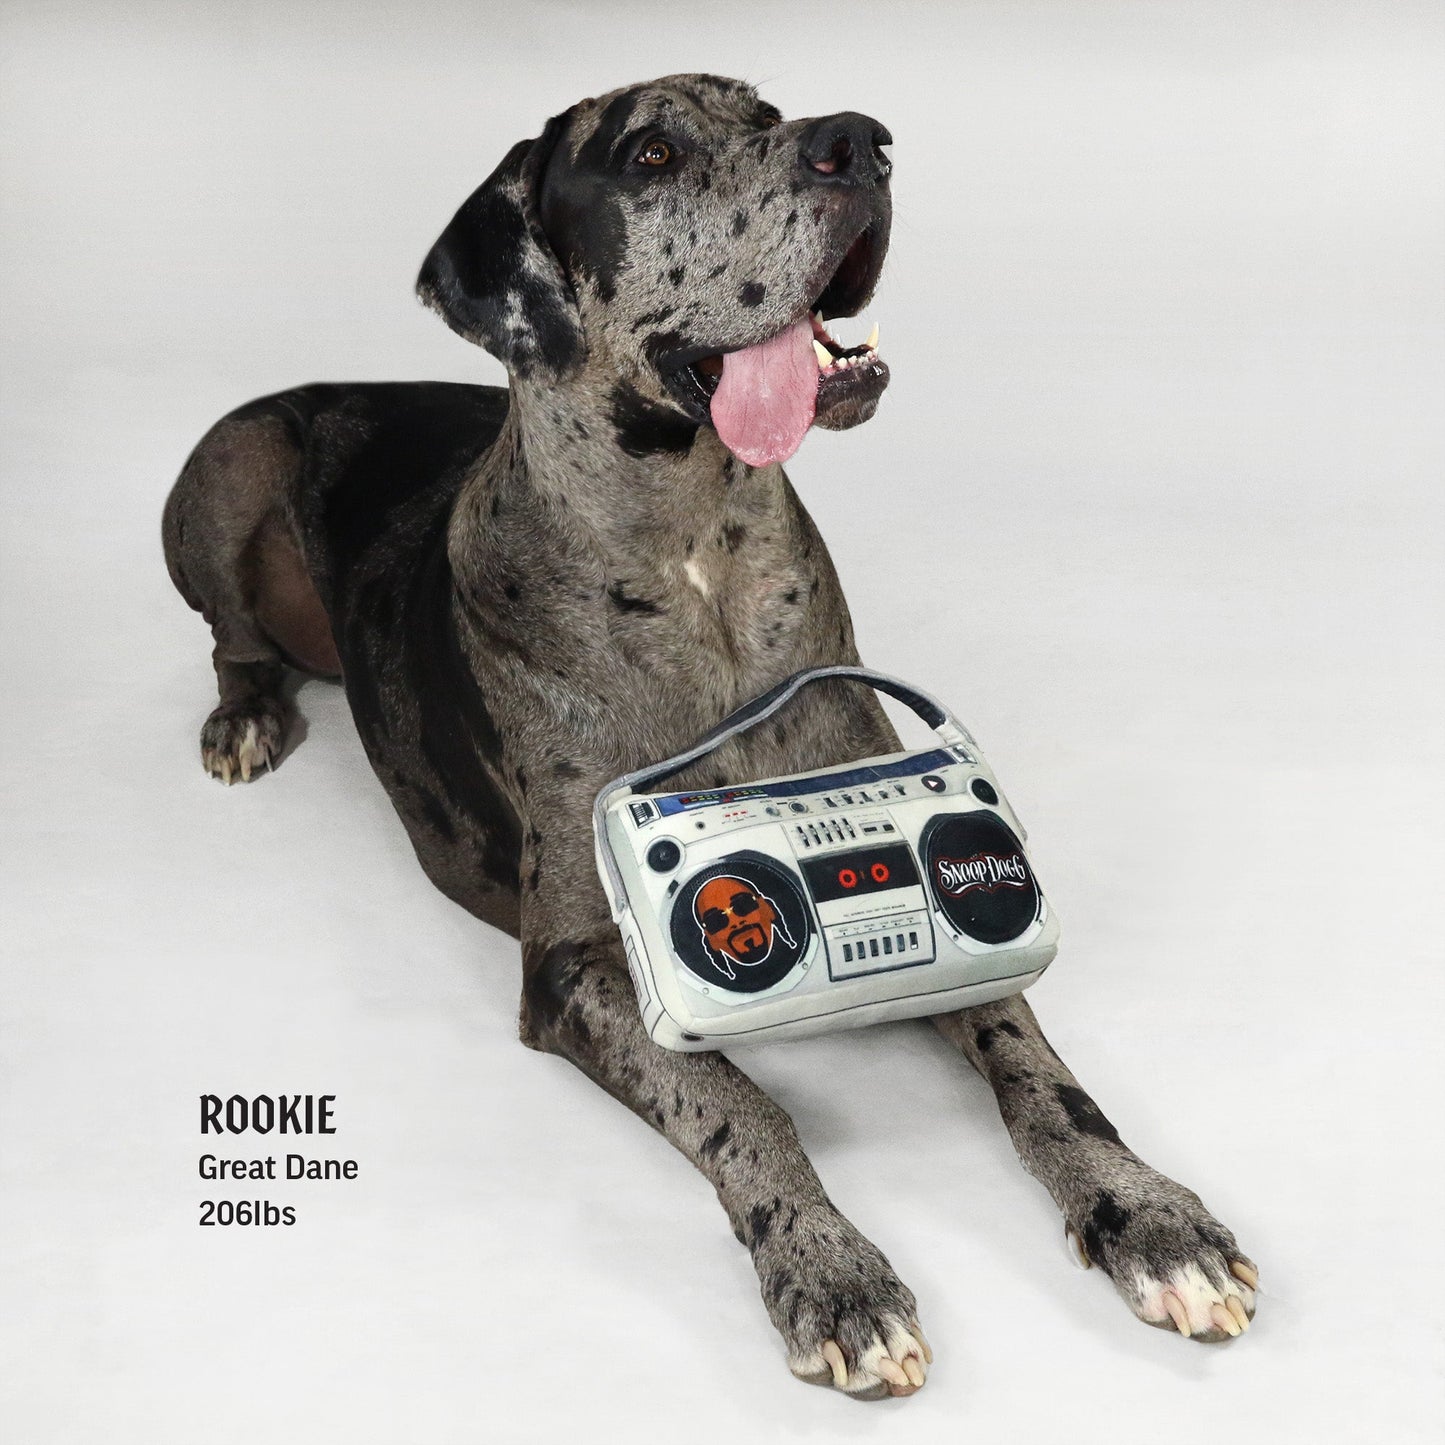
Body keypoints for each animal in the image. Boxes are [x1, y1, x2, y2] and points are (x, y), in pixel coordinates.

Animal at [164, 73, 1260, 1392]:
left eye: (768, 108)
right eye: (648, 153)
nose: (860, 143)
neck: (698, 555)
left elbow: (1032, 1055)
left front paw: (1143, 1211)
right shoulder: (579, 964)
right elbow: (740, 1102)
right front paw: (832, 1270)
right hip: (229, 459)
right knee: (231, 636)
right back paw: (245, 713)